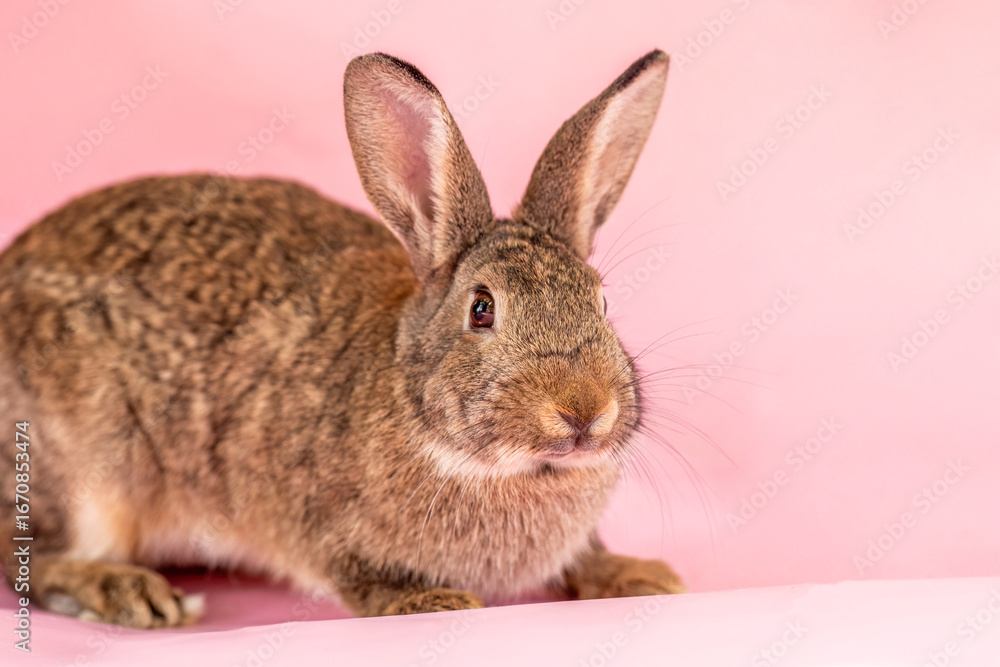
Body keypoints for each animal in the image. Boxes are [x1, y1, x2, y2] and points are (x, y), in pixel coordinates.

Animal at [0, 49, 683, 627]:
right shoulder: (317, 520)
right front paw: (430, 601)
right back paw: (129, 593)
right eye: (482, 309)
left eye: (602, 301)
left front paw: (642, 577)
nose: (585, 411)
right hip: (84, 471)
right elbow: (357, 576)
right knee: (25, 556)